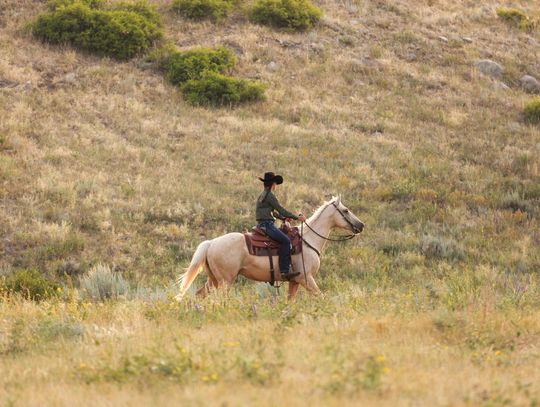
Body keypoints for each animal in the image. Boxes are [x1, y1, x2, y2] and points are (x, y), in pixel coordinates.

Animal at [175, 196, 364, 302]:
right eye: (346, 210)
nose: (361, 225)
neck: (308, 240)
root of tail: (211, 243)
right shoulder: (306, 279)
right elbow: (321, 297)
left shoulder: (295, 282)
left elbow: (289, 303)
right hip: (225, 281)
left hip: (214, 280)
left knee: (199, 295)